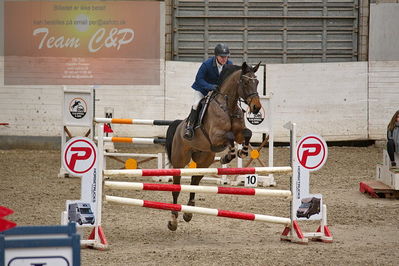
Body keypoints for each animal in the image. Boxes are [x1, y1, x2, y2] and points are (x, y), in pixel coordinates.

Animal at [166, 61, 262, 231]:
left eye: (257, 82)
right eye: (245, 82)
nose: (256, 107)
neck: (229, 106)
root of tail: (178, 126)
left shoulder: (239, 133)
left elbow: (247, 133)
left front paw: (242, 152)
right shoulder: (215, 136)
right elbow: (229, 136)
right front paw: (227, 156)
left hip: (204, 160)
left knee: (194, 182)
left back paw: (188, 212)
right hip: (179, 161)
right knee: (176, 188)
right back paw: (173, 220)